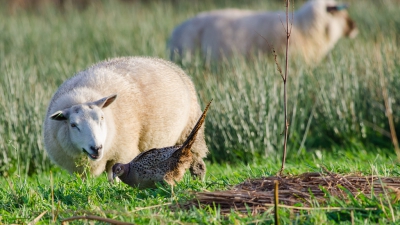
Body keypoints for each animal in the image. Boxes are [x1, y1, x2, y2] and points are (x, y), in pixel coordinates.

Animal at [43, 56, 209, 181]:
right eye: (73, 125)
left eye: (101, 118)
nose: (96, 148)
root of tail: (165, 62)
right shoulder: (79, 167)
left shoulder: (121, 152)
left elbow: (114, 177)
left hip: (189, 131)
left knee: (198, 164)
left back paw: (198, 182)